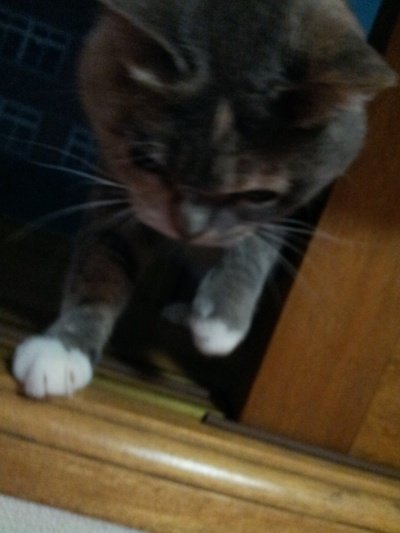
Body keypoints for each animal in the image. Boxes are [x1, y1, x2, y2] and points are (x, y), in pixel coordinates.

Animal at [12, 0, 396, 398]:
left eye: (259, 194)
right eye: (145, 161)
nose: (189, 229)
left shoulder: (289, 208)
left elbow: (256, 240)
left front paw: (222, 320)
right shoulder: (117, 185)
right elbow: (102, 262)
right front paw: (62, 350)